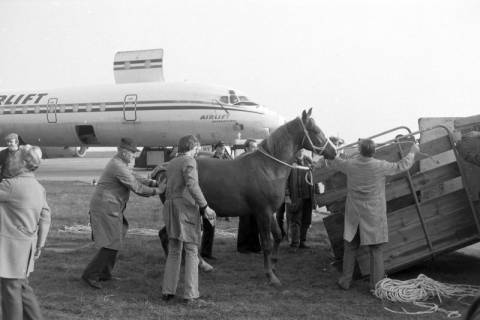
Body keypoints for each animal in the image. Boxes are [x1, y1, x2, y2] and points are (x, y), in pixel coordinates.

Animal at [195, 108, 338, 284]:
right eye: (315, 130)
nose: (334, 151)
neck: (268, 168)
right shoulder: (262, 212)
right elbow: (267, 243)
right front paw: (270, 276)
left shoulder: (271, 212)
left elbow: (277, 236)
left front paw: (274, 266)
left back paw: (203, 264)